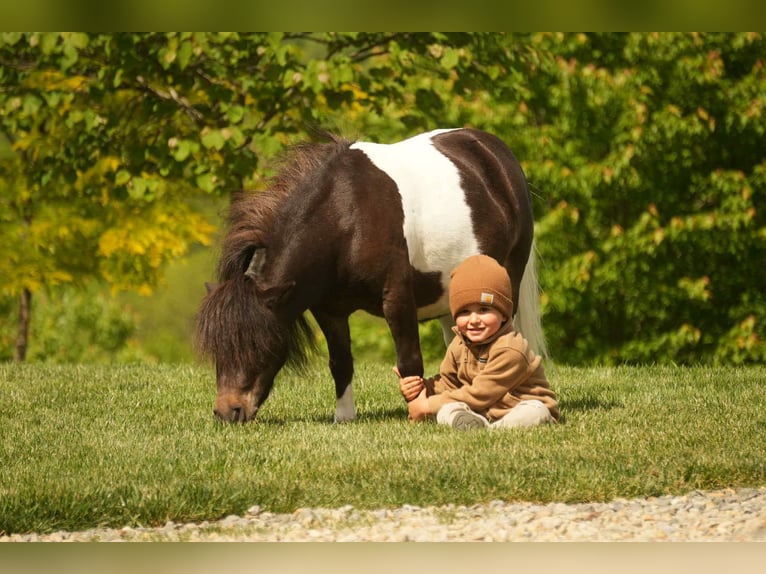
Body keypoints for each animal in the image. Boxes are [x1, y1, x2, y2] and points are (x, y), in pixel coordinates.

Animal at [195, 128, 545, 423]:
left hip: (508, 277)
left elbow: (409, 362)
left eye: (258, 343)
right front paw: (344, 418)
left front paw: (418, 415)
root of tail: (495, 152)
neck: (345, 218)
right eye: (218, 347)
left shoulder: (397, 298)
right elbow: (341, 363)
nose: (227, 412)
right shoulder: (329, 311)